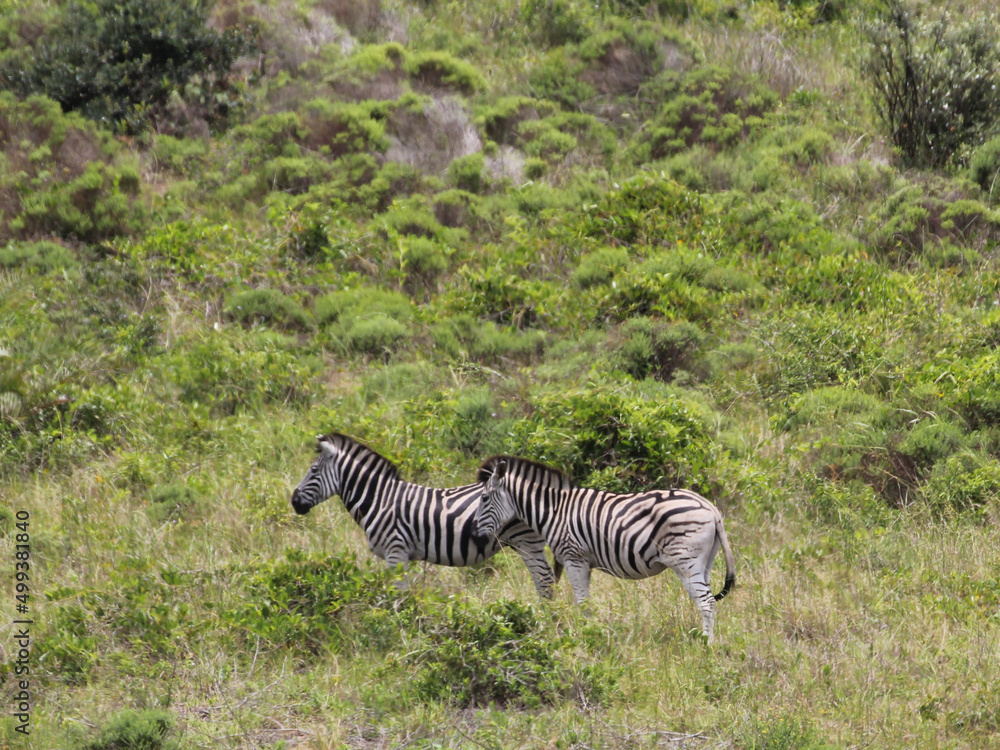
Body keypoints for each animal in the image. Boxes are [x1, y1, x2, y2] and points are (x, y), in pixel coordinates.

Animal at [290, 433, 562, 599]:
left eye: (313, 470)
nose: (294, 501)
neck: (379, 499)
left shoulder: (396, 551)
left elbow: (397, 596)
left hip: (526, 541)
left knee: (545, 580)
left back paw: (545, 619)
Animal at [472, 456, 736, 641]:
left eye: (484, 499)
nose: (475, 536)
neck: (555, 510)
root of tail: (711, 508)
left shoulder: (573, 557)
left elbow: (581, 603)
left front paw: (584, 638)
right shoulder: (585, 563)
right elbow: (587, 603)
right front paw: (591, 633)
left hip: (686, 562)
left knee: (706, 602)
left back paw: (705, 645)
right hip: (704, 563)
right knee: (707, 600)